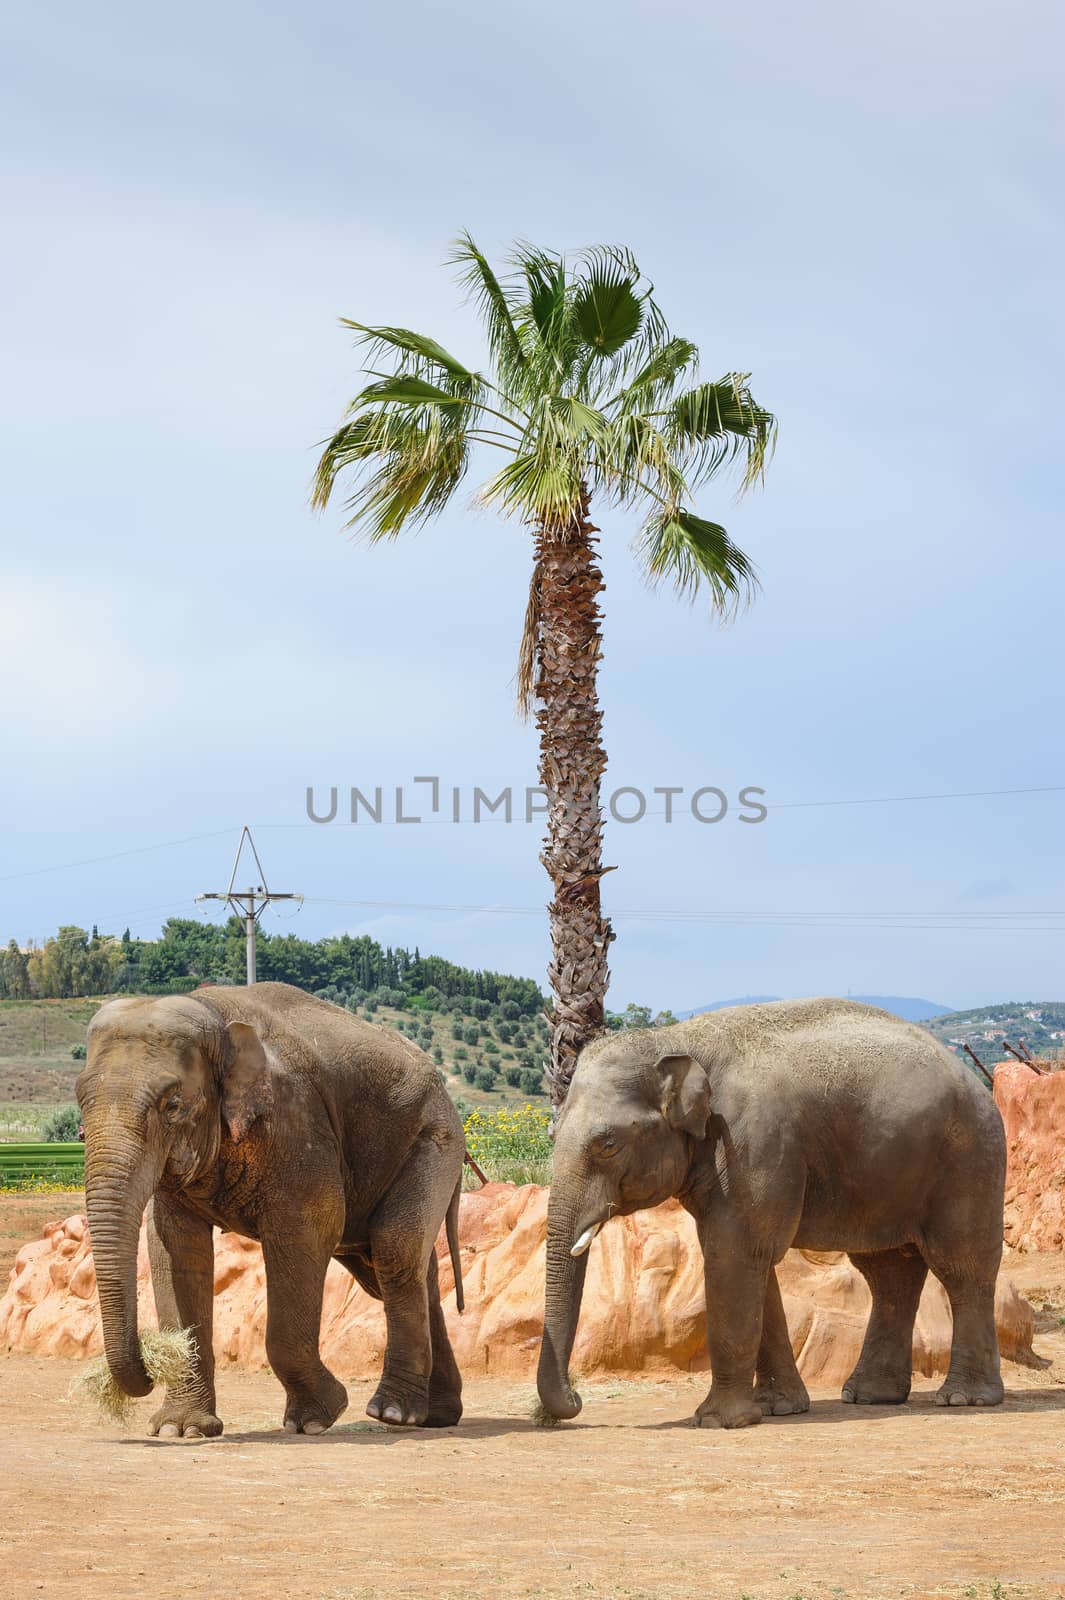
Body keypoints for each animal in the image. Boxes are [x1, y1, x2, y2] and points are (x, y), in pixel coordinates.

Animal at [76, 979, 466, 1446]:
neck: (215, 1016)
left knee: (394, 1249)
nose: (149, 1369)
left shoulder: (296, 1123)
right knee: (401, 1270)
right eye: (79, 1102)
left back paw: (393, 1413)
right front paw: (181, 1429)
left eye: (172, 1105)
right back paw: (437, 1416)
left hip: (435, 1140)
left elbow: (308, 1230)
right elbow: (176, 1250)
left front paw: (318, 1417)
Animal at [540, 998, 1004, 1427]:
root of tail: (976, 1078)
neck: (675, 1040)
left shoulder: (752, 1141)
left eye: (607, 1144)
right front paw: (777, 1408)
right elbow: (752, 1263)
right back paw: (870, 1396)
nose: (576, 1401)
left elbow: (735, 1253)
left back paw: (964, 1399)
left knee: (962, 1266)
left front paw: (719, 1421)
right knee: (889, 1272)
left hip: (968, 1158)